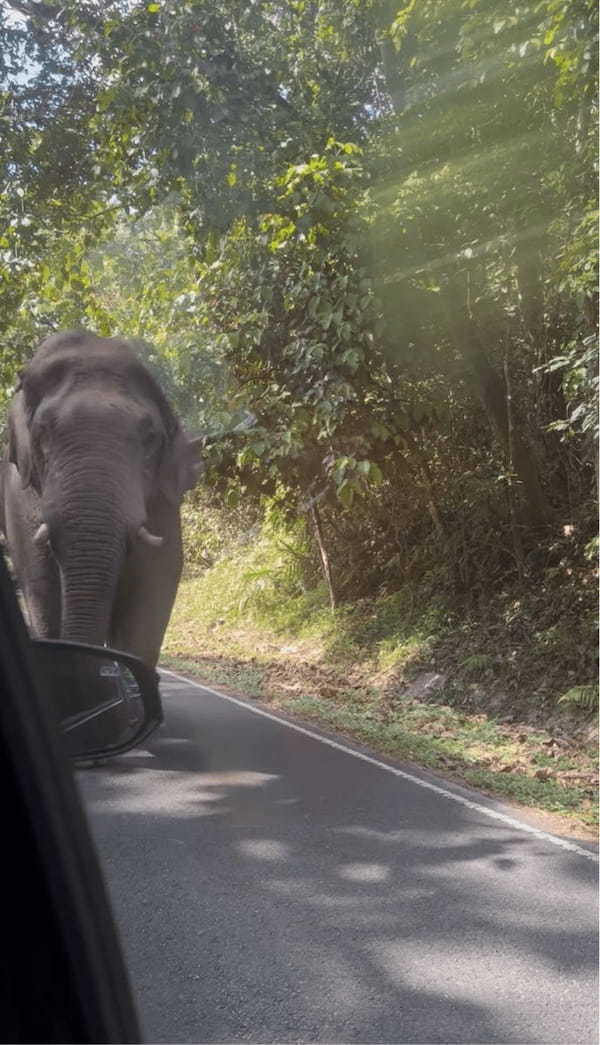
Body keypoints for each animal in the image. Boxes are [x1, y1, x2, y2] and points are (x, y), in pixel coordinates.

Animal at [0, 330, 204, 664]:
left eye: (150, 438)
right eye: (42, 434)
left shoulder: (163, 500)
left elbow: (153, 588)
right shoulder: (20, 495)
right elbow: (42, 589)